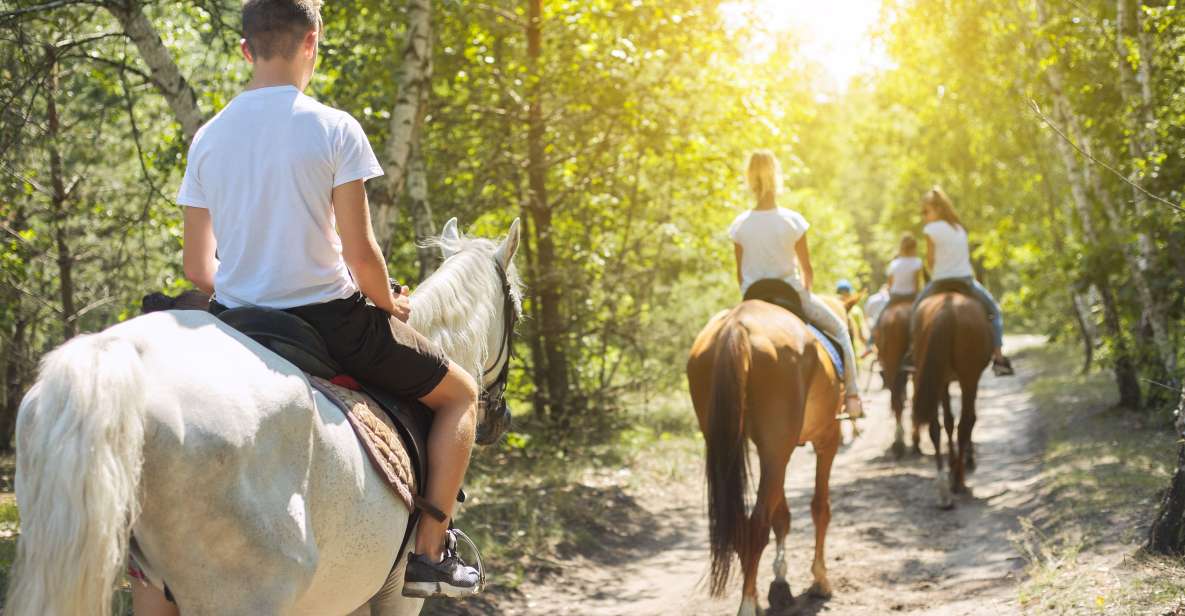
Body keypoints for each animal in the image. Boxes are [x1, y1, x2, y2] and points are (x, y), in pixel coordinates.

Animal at [6, 217, 521, 616]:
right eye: (517, 308)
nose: (500, 419)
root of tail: (117, 355)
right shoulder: (396, 594)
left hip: (150, 586)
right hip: (242, 592)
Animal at [682, 296, 848, 611]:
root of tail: (737, 327)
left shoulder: (774, 450)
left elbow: (781, 515)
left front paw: (780, 583)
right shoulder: (826, 439)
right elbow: (820, 508)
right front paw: (820, 579)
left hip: (735, 445)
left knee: (742, 524)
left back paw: (755, 599)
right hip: (777, 448)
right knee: (757, 524)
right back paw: (747, 605)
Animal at [914, 291, 990, 507]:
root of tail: (946, 310)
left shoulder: (944, 380)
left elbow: (948, 422)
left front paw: (952, 463)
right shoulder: (969, 379)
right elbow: (967, 421)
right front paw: (963, 462)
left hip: (936, 377)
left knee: (935, 427)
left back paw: (943, 488)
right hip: (968, 377)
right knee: (965, 424)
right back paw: (958, 482)